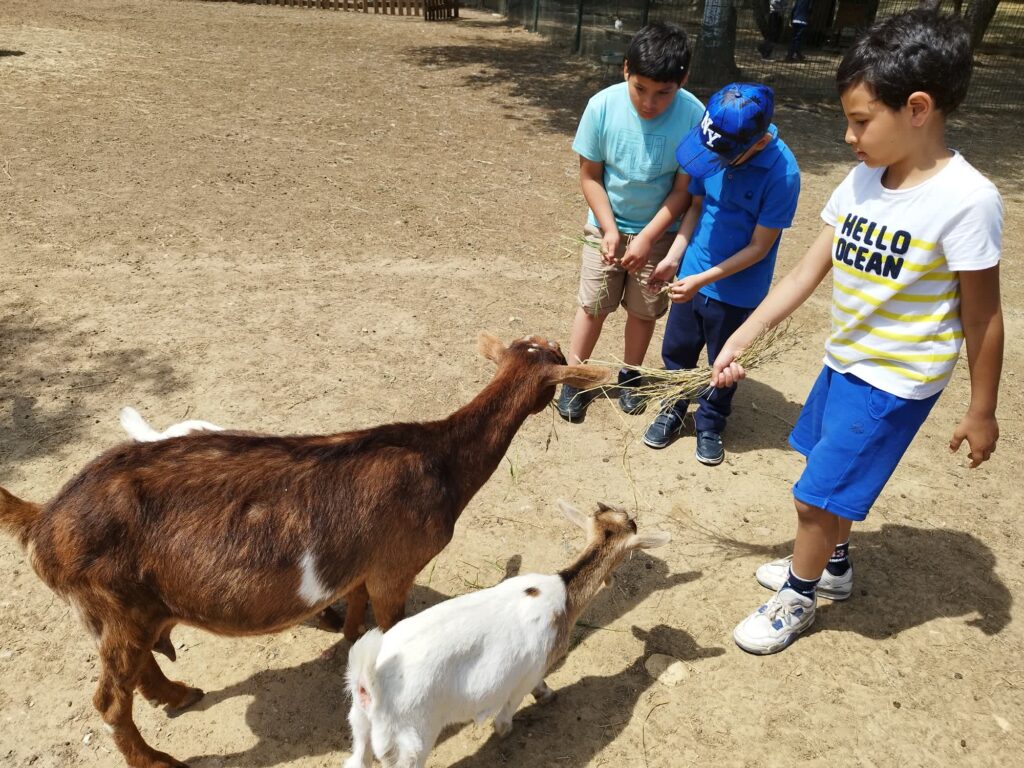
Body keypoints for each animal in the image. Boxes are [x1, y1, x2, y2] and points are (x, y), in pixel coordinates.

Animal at [0, 332, 610, 768]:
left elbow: (357, 613)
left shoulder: (364, 567)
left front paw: (345, 637)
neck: (438, 458)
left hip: (127, 609)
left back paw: (177, 694)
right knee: (110, 700)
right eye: (560, 360)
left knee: (140, 665)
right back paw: (158, 760)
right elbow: (391, 620)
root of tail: (43, 518)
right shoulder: (396, 567)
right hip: (115, 605)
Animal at [343, 500, 671, 768]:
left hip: (360, 723)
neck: (563, 595)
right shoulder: (527, 673)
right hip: (409, 740)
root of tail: (368, 683)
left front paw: (546, 694)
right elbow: (507, 713)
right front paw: (511, 725)